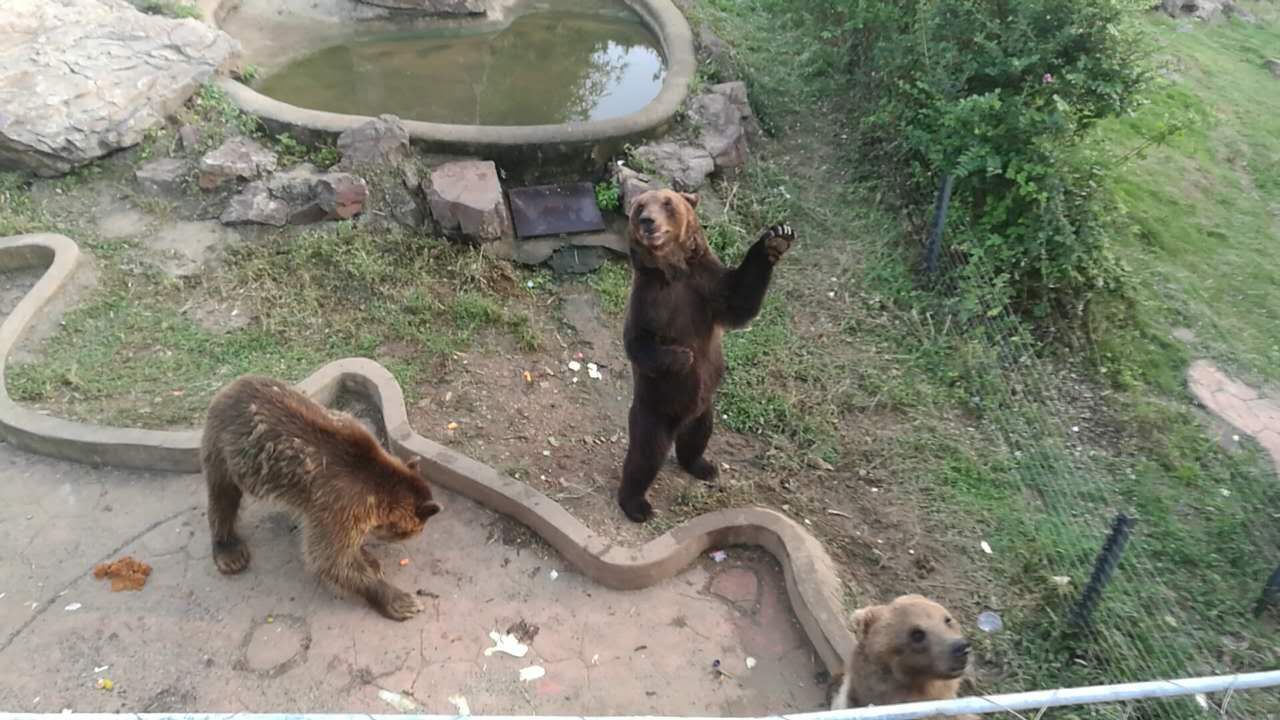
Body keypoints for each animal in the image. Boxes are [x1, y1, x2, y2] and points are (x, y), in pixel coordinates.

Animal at [199, 376, 440, 617]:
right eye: (414, 530)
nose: (417, 534)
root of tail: (232, 386)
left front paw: (368, 559)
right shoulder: (339, 503)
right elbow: (329, 558)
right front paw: (399, 599)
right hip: (226, 451)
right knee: (223, 497)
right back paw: (228, 550)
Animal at [616, 188, 788, 517]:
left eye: (667, 203)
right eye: (641, 206)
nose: (647, 221)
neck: (673, 272)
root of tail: (679, 422)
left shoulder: (705, 286)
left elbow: (740, 299)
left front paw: (776, 237)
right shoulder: (648, 299)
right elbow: (638, 342)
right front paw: (684, 357)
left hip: (704, 409)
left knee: (697, 438)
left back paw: (703, 466)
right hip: (655, 409)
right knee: (645, 456)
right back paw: (636, 504)